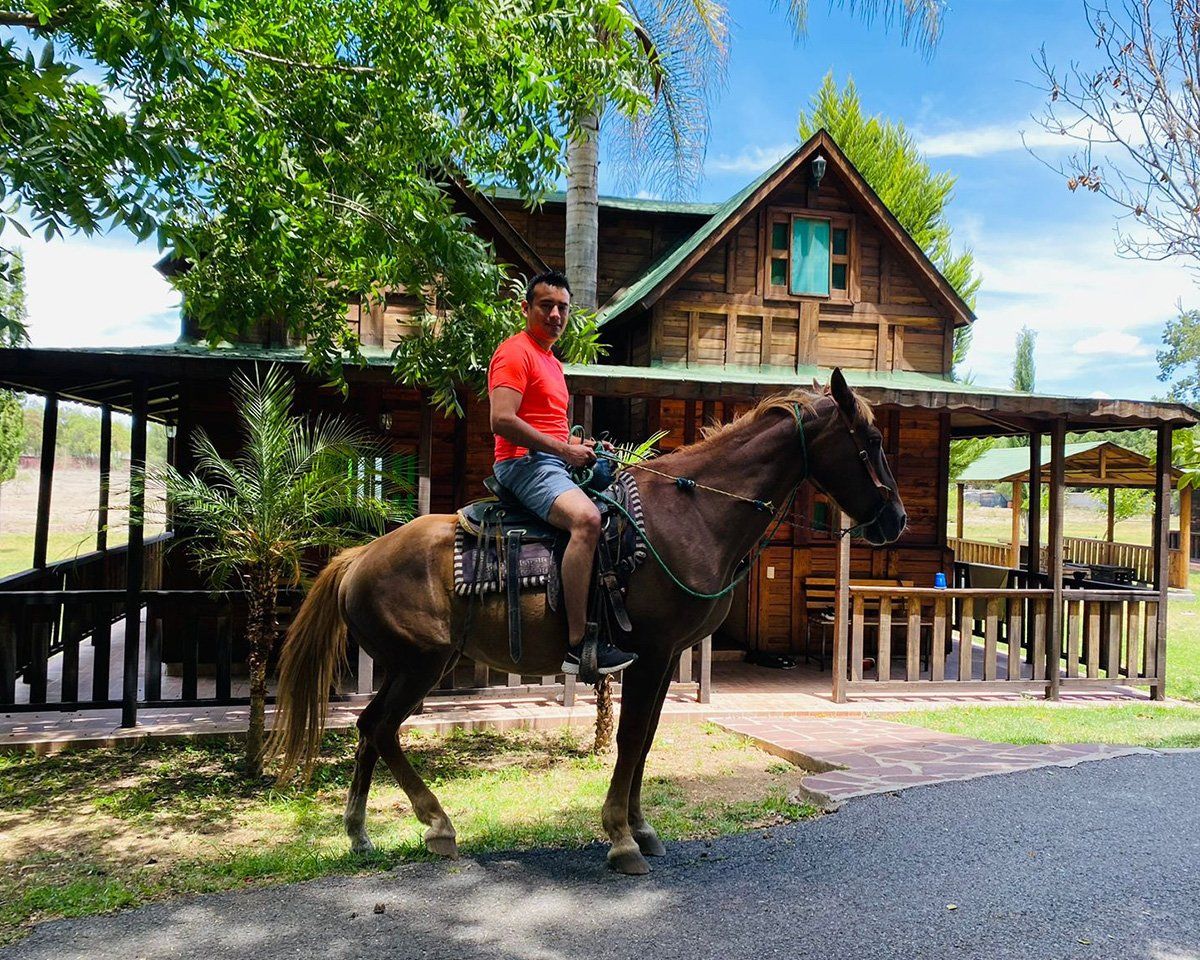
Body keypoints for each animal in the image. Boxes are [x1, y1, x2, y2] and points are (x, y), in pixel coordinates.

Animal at [267, 368, 907, 875]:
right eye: (872, 441)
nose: (895, 520)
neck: (694, 512)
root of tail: (358, 558)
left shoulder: (665, 656)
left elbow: (645, 739)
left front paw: (642, 829)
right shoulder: (650, 652)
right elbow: (629, 738)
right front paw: (622, 840)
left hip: (415, 667)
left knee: (370, 729)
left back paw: (360, 833)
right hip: (420, 664)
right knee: (379, 727)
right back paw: (436, 825)